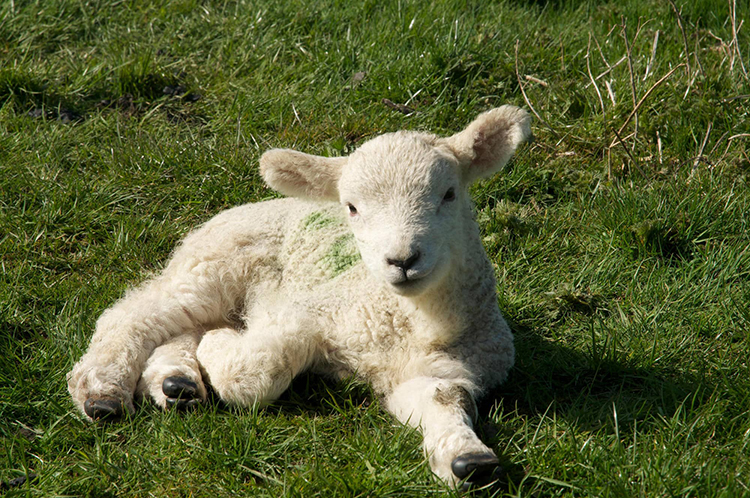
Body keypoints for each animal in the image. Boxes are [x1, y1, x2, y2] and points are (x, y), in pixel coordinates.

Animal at [66, 106, 536, 486]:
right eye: (352, 207)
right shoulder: (313, 310)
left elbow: (443, 398)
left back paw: (176, 381)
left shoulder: (444, 367)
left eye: (449, 194)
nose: (402, 259)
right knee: (137, 314)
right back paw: (104, 390)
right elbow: (256, 372)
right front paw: (221, 349)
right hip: (215, 265)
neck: (415, 323)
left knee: (184, 325)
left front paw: (467, 458)